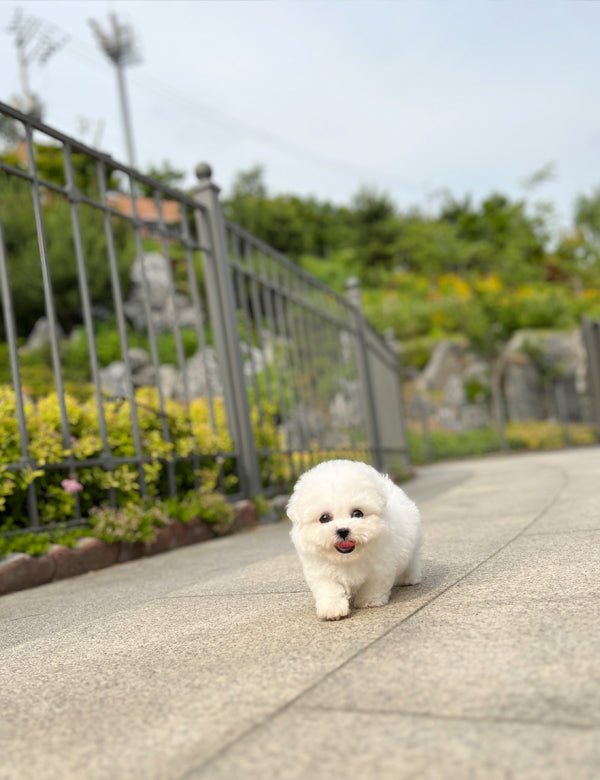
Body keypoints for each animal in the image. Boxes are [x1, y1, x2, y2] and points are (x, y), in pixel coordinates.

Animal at [288, 458, 422, 620]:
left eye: (357, 513)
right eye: (324, 518)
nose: (343, 530)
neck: (348, 557)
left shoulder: (381, 565)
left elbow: (374, 584)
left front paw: (369, 600)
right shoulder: (320, 569)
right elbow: (329, 588)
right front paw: (332, 609)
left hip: (413, 545)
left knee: (412, 560)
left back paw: (409, 578)